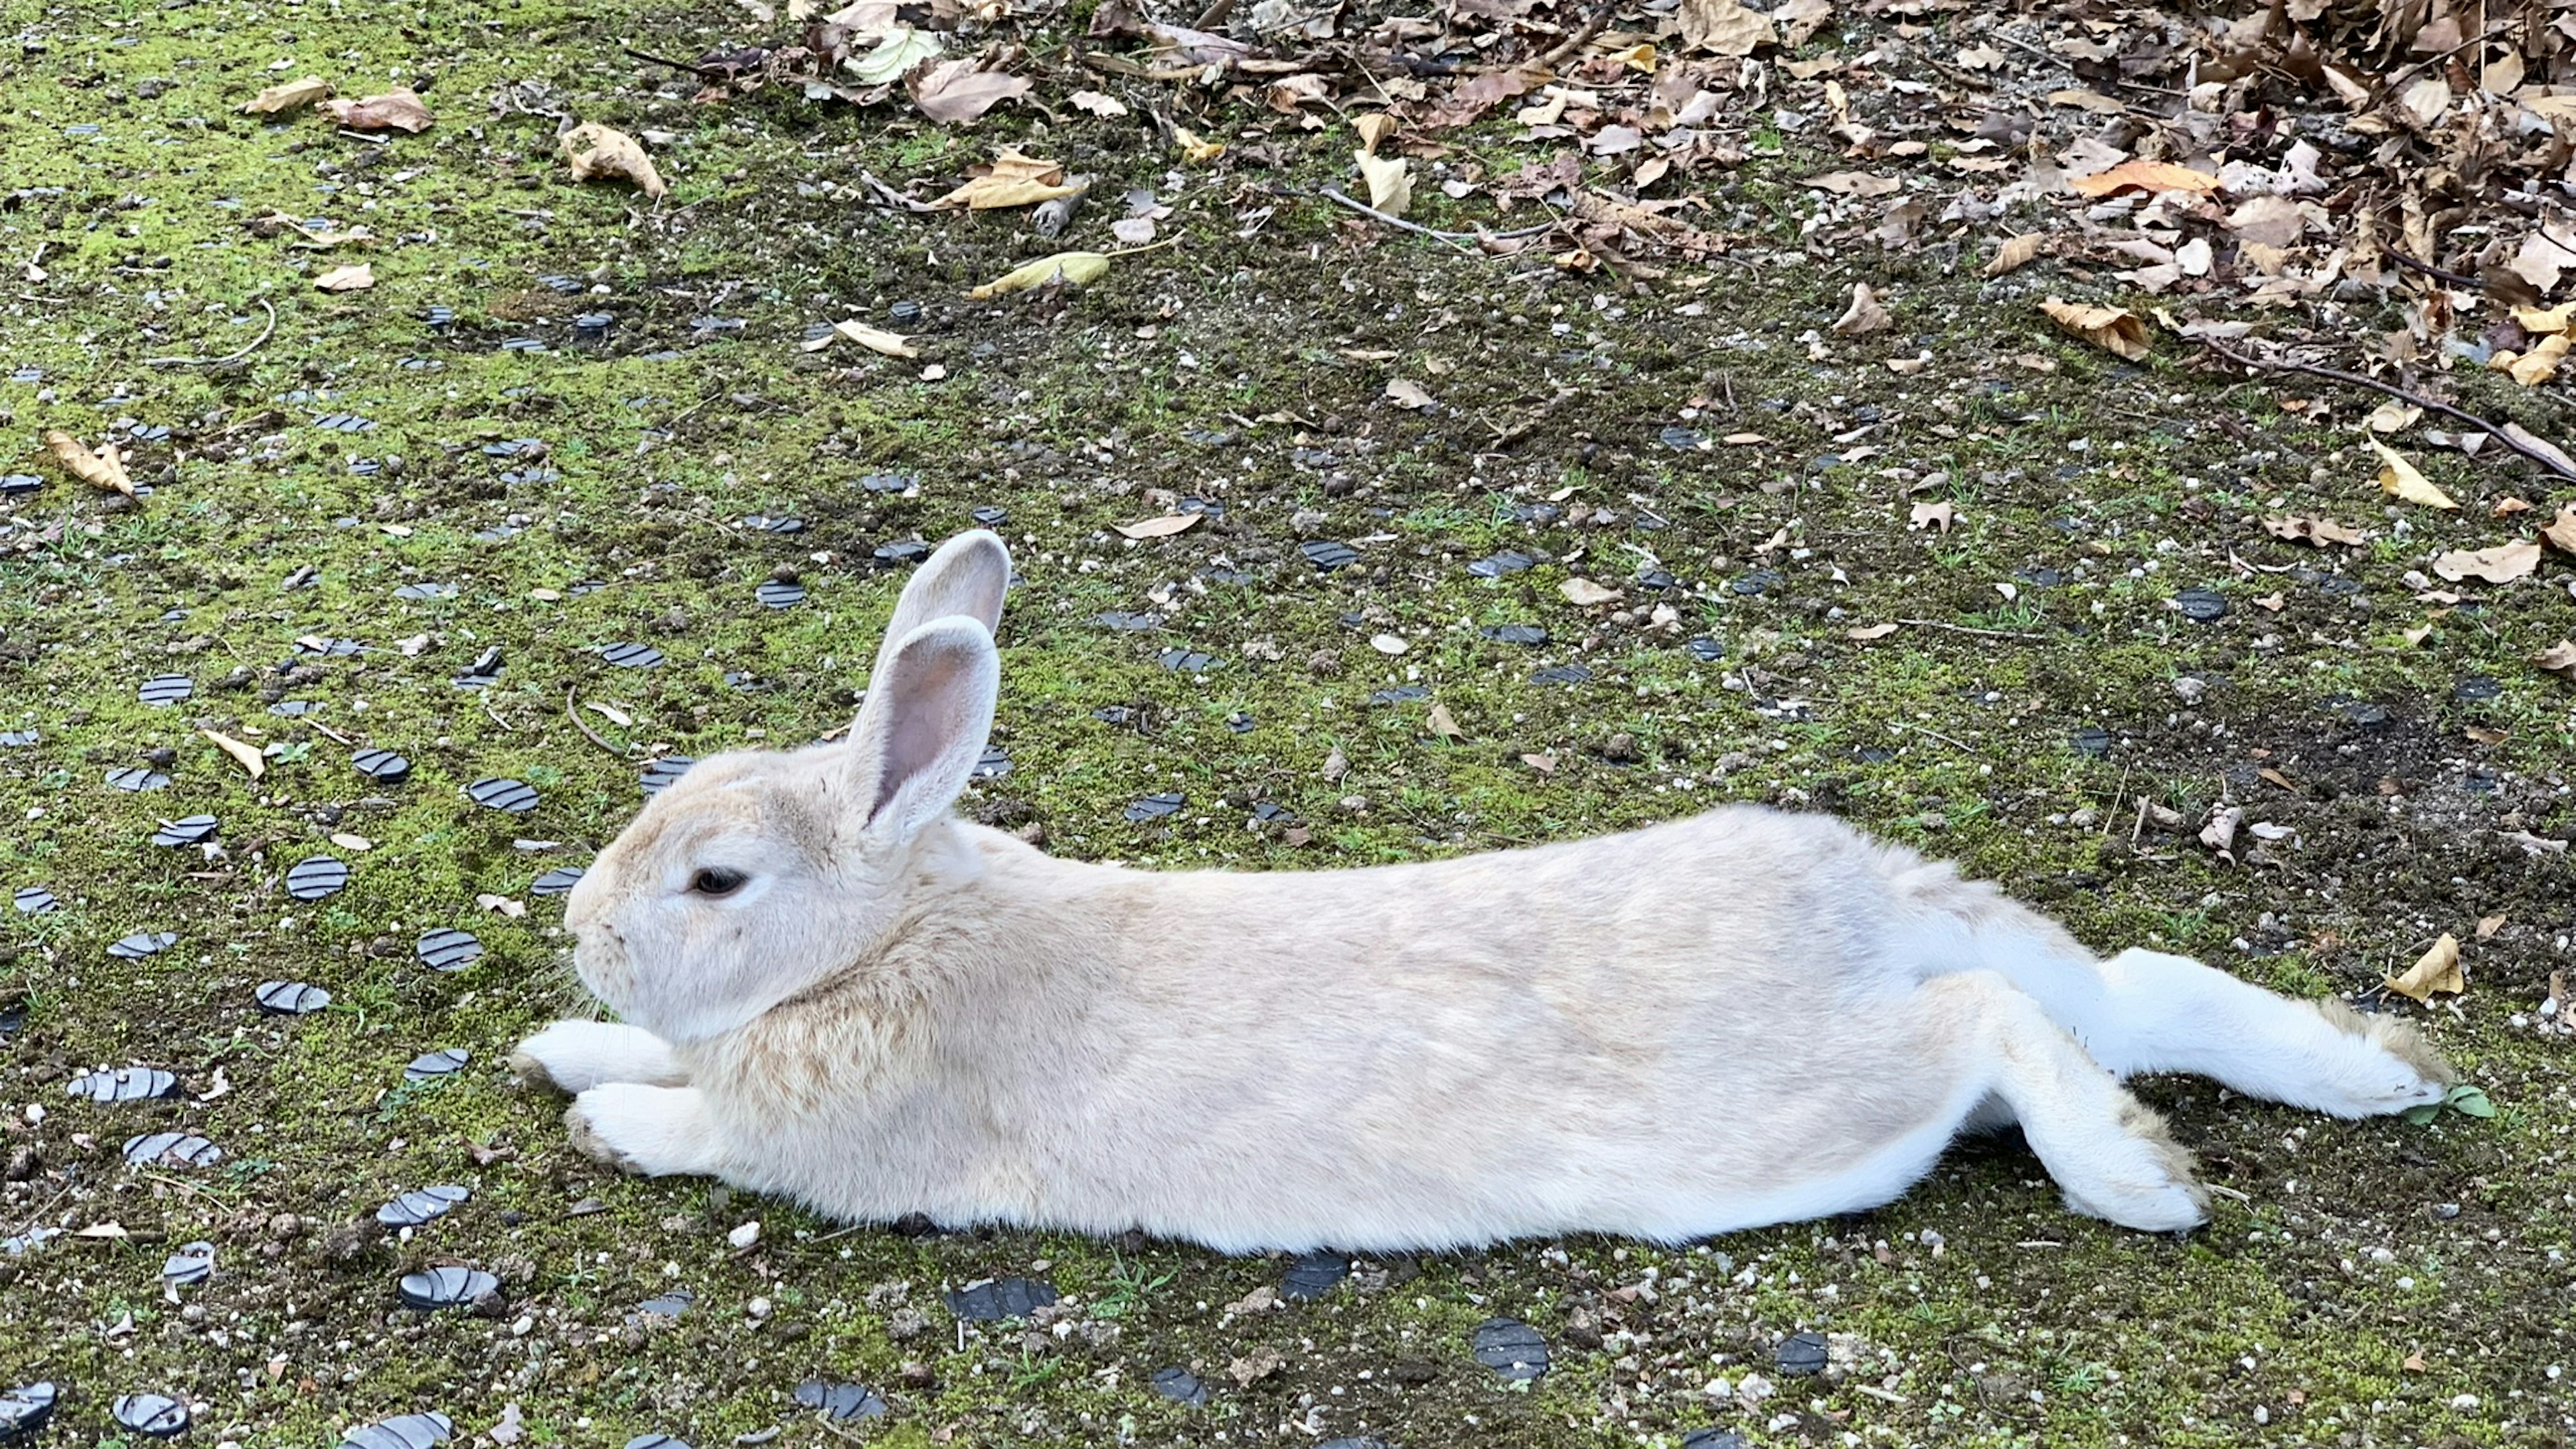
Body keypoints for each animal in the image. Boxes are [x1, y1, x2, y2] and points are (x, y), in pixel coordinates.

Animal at [502, 523, 2452, 1248]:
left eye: (717, 876)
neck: (897, 928)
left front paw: (598, 1111)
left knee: (1992, 1025)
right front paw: (558, 1050)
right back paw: (2383, 1072)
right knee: (2124, 985)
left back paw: (2140, 1181)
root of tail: (1861, 911)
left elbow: (695, 1128)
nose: (580, 931)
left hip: (1818, 1106)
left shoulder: (832, 1144)